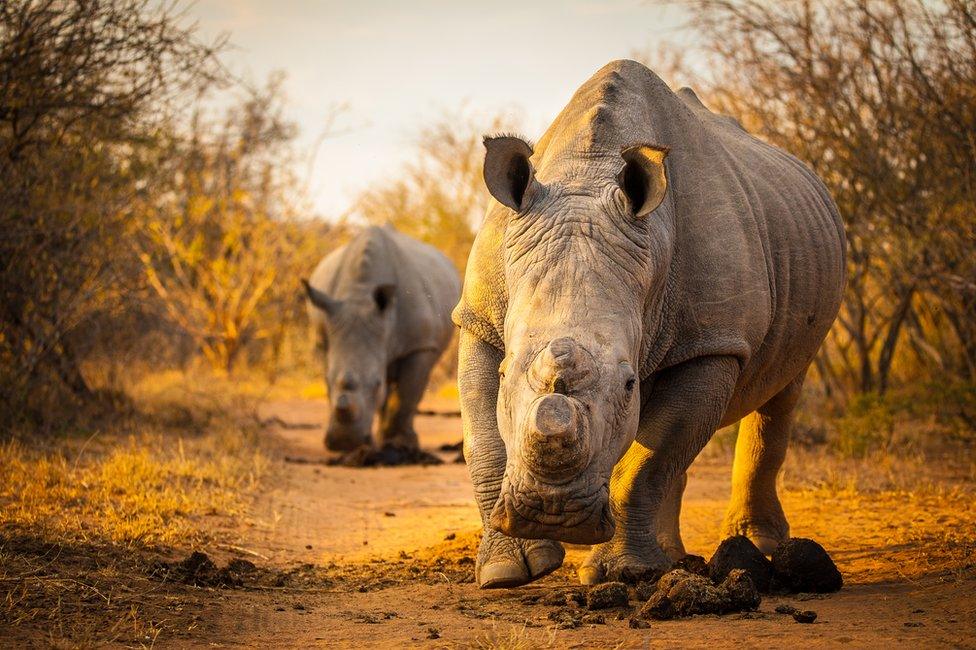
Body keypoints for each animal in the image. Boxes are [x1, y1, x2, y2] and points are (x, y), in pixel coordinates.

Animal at [304, 225, 460, 451]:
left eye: (376, 384)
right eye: (326, 380)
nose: (344, 443)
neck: (359, 296)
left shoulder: (420, 346)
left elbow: (406, 394)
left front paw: (399, 445)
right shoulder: (325, 339)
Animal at [454, 60, 846, 588]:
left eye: (628, 384)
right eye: (505, 374)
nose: (553, 511)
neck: (585, 173)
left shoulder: (713, 341)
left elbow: (648, 461)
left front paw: (623, 573)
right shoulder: (479, 317)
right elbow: (485, 442)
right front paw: (506, 572)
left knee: (781, 390)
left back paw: (752, 546)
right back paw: (671, 560)